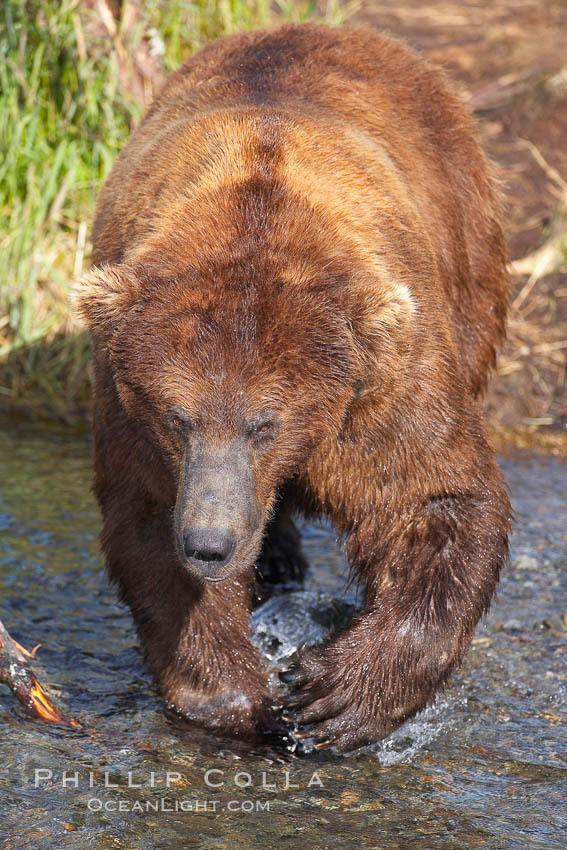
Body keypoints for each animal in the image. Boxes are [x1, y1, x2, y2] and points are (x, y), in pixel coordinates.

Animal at [73, 21, 512, 748]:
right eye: (177, 417)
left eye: (264, 424)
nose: (211, 543)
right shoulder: (128, 409)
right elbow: (148, 524)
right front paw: (235, 696)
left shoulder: (380, 383)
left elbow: (433, 496)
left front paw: (333, 695)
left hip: (468, 255)